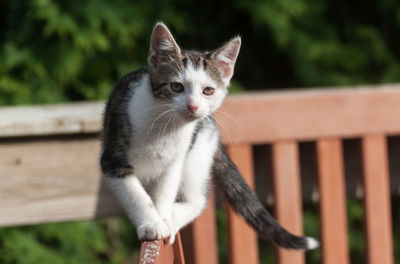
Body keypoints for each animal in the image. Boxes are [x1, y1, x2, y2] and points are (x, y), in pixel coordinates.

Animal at [100, 23, 318, 250]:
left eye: (208, 90)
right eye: (176, 86)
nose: (193, 106)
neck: (165, 127)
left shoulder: (174, 163)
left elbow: (164, 192)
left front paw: (163, 219)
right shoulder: (113, 160)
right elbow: (135, 194)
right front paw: (153, 223)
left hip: (198, 150)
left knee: (198, 200)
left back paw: (174, 215)